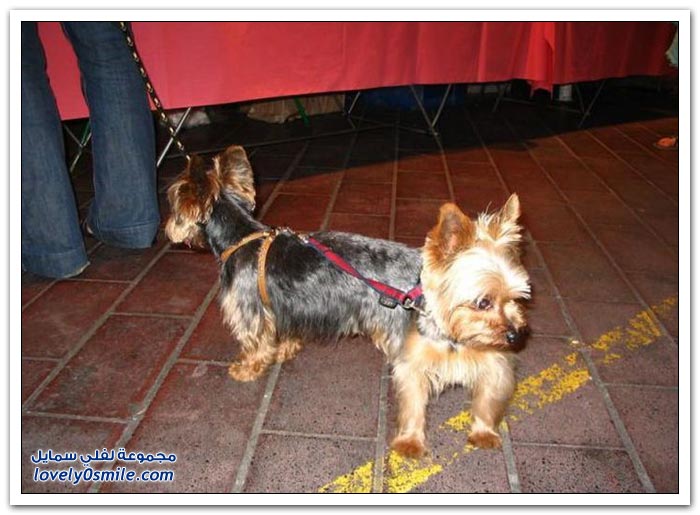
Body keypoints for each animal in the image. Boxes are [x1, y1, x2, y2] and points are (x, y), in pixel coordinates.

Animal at [165, 145, 531, 458]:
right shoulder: (286, 308)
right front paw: (285, 350)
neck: (241, 237)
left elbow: (255, 344)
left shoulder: (249, 310)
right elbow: (284, 334)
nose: (167, 229)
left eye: (172, 205)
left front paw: (247, 368)